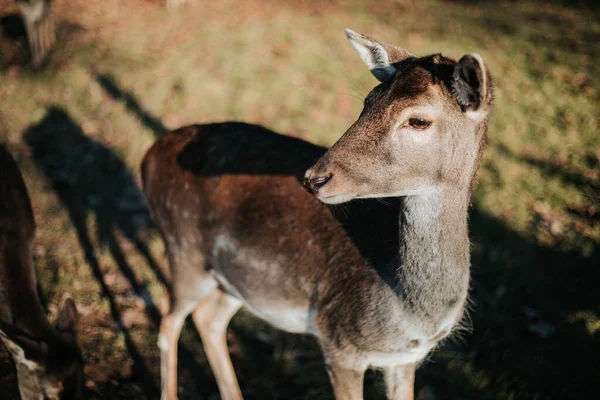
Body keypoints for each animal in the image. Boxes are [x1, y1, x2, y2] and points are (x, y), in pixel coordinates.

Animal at [143, 28, 494, 400]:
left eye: (418, 120)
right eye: (368, 101)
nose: (315, 178)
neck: (409, 313)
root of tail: (148, 156)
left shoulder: (403, 359)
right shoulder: (339, 341)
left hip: (234, 278)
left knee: (208, 318)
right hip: (183, 249)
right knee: (168, 319)